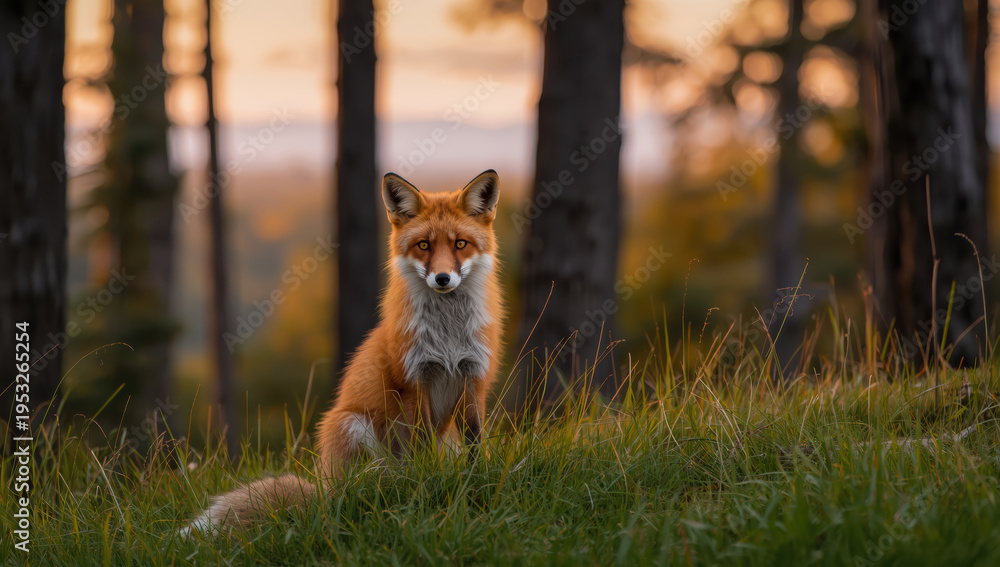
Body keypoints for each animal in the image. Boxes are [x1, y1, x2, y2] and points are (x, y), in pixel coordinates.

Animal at [182, 169, 504, 535]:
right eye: (424, 245)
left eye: (460, 244)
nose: (443, 278)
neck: (449, 334)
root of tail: (323, 487)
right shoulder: (413, 382)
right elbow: (421, 451)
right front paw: (427, 484)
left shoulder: (473, 379)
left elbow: (477, 445)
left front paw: (479, 480)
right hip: (352, 424)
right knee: (362, 484)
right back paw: (382, 488)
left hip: (439, 434)